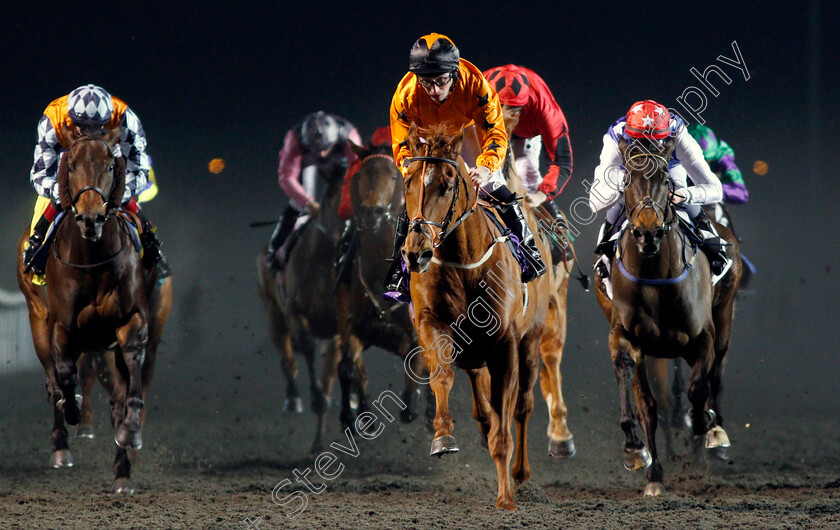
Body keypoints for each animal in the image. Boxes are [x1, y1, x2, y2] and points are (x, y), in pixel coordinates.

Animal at [16, 128, 172, 490]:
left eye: (110, 166)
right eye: (70, 166)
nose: (91, 217)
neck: (92, 259)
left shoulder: (131, 321)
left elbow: (128, 385)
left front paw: (130, 437)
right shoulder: (61, 325)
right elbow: (64, 375)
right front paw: (72, 410)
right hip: (37, 319)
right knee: (53, 380)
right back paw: (61, 445)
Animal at [592, 134, 740, 492]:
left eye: (665, 180)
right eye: (627, 180)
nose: (648, 232)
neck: (655, 276)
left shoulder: (703, 338)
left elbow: (698, 388)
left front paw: (703, 423)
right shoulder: (626, 337)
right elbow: (641, 397)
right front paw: (637, 452)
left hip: (725, 316)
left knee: (715, 375)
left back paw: (715, 430)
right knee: (654, 401)